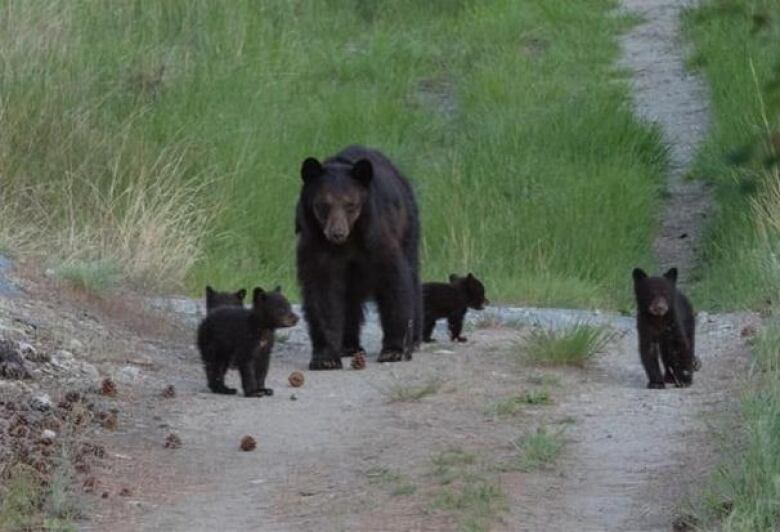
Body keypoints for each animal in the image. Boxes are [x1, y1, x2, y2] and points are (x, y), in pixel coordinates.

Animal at [298, 145, 420, 370]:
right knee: (349, 298)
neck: (350, 241)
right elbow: (322, 294)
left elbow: (395, 283)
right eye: (323, 204)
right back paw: (349, 346)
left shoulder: (379, 239)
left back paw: (415, 340)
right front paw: (325, 358)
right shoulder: (315, 245)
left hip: (409, 227)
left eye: (351, 204)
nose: (337, 233)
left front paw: (394, 350)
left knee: (413, 276)